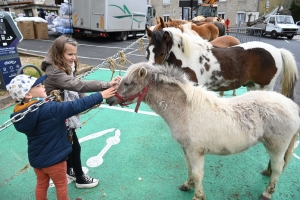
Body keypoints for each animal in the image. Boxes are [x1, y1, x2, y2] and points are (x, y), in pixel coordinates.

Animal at [106, 61, 298, 199]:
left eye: (127, 83)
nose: (109, 100)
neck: (185, 111)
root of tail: (292, 106)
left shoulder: (195, 151)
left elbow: (198, 174)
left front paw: (198, 196)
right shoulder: (185, 150)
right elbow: (190, 169)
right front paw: (187, 185)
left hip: (276, 146)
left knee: (279, 167)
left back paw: (267, 192)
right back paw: (267, 172)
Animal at [145, 26, 298, 99]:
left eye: (162, 52)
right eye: (147, 50)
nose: (149, 73)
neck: (189, 57)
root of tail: (277, 50)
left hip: (265, 87)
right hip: (252, 86)